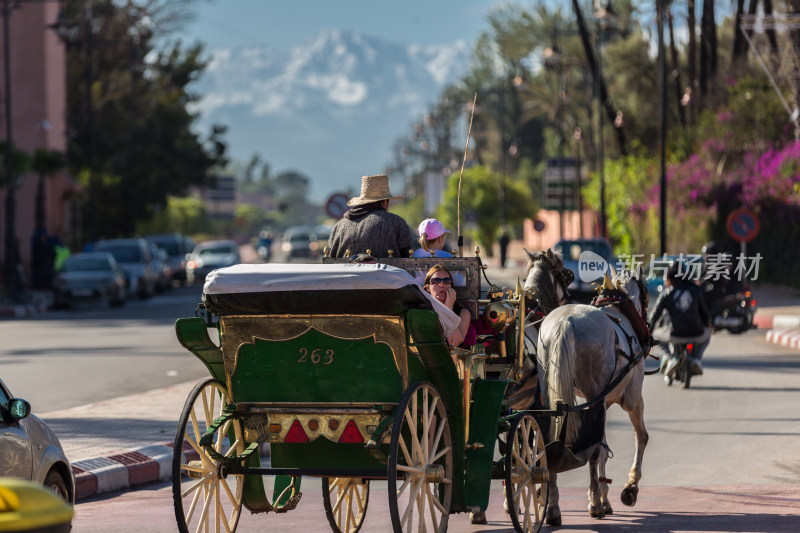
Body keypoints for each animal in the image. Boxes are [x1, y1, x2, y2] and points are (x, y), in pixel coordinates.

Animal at [536, 264, 648, 520]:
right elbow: (640, 437)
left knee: (551, 438)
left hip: (550, 388)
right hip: (596, 394)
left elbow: (604, 447)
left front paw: (606, 496)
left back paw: (554, 506)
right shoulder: (631, 398)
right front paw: (629, 488)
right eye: (647, 294)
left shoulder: (603, 401)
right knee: (594, 449)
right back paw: (595, 503)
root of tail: (565, 323)